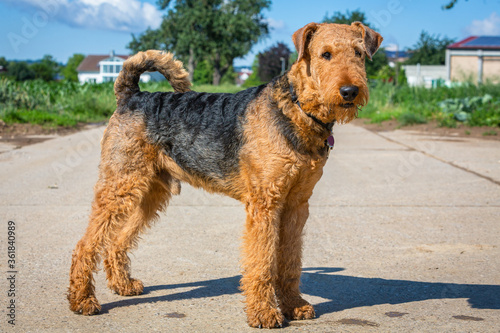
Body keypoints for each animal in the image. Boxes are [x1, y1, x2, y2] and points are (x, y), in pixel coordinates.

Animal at [68, 22, 382, 326]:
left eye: (358, 53)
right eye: (325, 54)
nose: (349, 92)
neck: (296, 107)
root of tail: (131, 95)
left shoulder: (297, 204)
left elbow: (290, 261)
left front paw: (295, 306)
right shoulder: (265, 203)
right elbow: (263, 262)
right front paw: (264, 314)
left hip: (149, 192)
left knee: (117, 239)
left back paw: (123, 284)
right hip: (120, 184)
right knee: (85, 244)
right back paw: (82, 300)